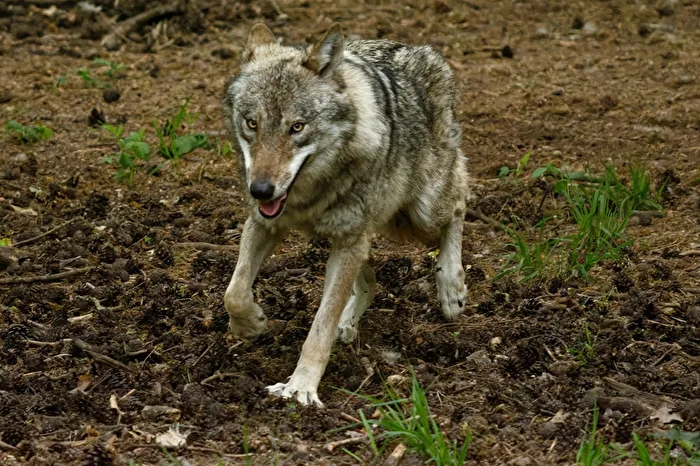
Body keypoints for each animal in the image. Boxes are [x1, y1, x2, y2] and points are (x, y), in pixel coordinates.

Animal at [221, 23, 470, 407]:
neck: (311, 192)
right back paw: (349, 322)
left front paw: (300, 388)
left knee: (460, 201)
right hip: (362, 234)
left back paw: (450, 288)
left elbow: (319, 326)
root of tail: (423, 51)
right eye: (252, 124)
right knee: (369, 280)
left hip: (419, 214)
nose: (260, 190)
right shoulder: (265, 223)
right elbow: (233, 292)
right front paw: (250, 325)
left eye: (297, 127)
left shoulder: (349, 238)